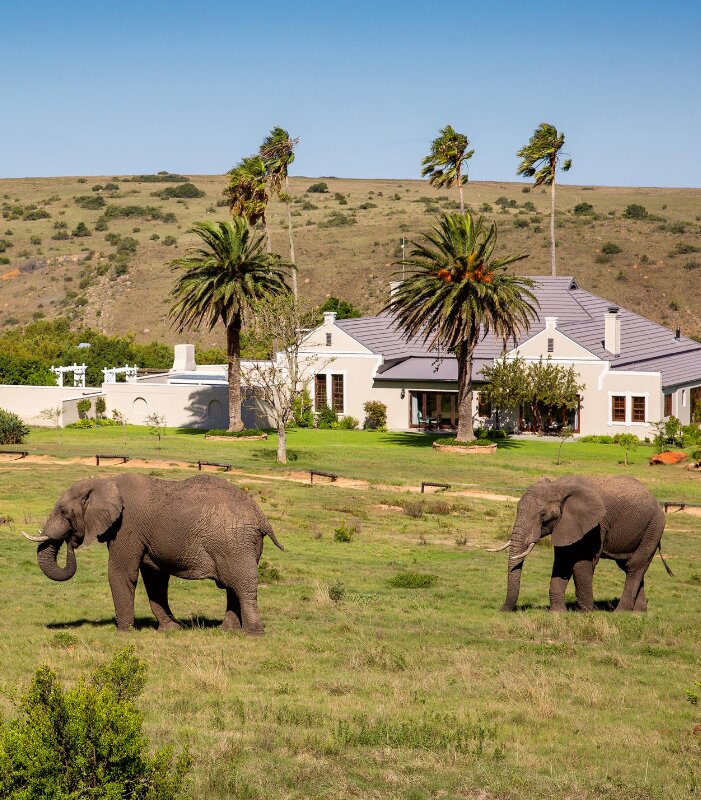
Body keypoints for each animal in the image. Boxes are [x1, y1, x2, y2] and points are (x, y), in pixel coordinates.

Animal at [23, 472, 284, 636]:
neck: (104, 481)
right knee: (232, 586)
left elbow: (122, 573)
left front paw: (123, 633)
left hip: (234, 542)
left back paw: (253, 634)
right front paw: (171, 630)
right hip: (243, 544)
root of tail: (261, 517)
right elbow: (155, 578)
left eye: (63, 512)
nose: (71, 541)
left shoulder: (126, 527)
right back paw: (226, 631)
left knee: (242, 584)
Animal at [490, 476, 668, 612]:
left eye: (543, 515)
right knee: (629, 566)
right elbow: (562, 562)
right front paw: (557, 613)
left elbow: (581, 564)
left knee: (634, 566)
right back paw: (638, 613)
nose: (502, 610)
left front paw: (586, 614)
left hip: (654, 527)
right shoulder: (565, 525)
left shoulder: (595, 526)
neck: (559, 486)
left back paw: (621, 613)